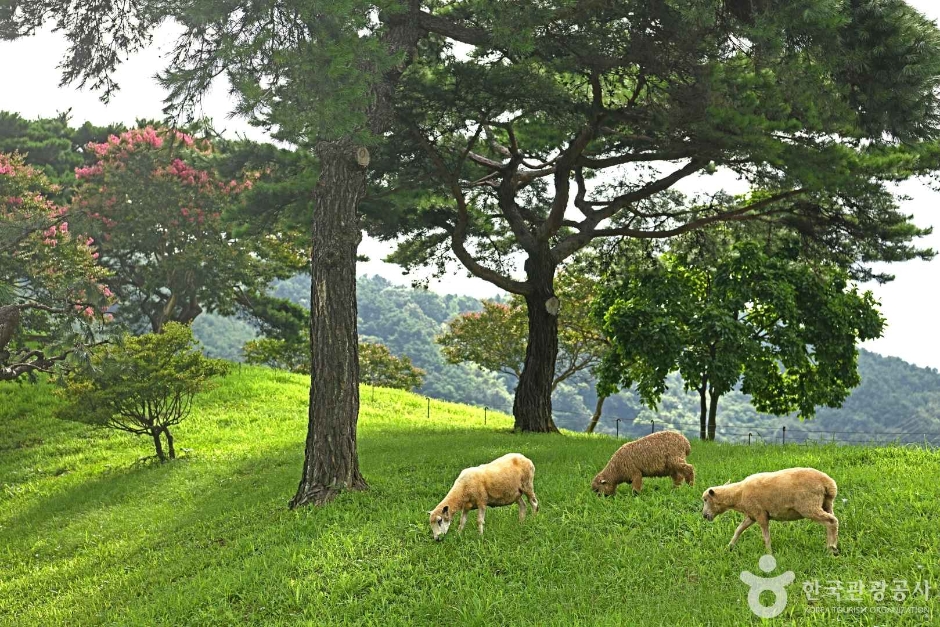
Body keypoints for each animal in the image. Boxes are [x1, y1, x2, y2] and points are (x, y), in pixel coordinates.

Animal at [700, 466, 840, 556]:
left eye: (705, 499)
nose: (704, 516)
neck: (738, 494)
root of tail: (828, 483)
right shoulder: (751, 515)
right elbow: (738, 530)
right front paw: (729, 547)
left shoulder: (760, 514)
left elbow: (766, 536)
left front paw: (769, 553)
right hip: (827, 504)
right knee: (832, 523)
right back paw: (832, 546)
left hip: (809, 506)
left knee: (832, 521)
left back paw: (831, 548)